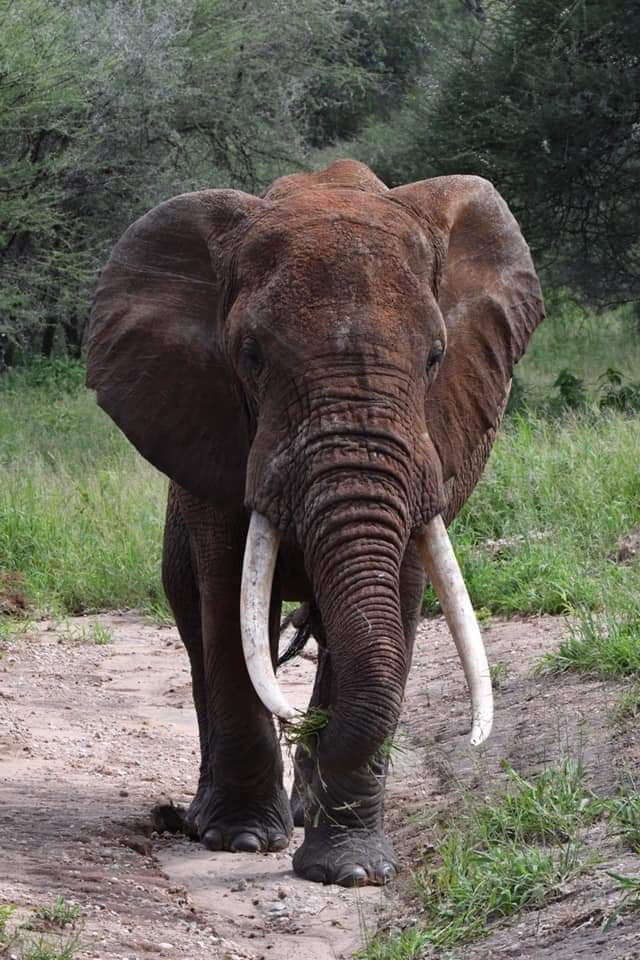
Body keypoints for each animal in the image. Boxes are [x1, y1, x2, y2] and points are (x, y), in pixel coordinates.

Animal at [86, 156, 544, 884]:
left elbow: (400, 598)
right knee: (197, 622)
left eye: (435, 357)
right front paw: (242, 840)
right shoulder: (214, 429)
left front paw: (352, 873)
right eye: (250, 357)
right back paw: (218, 815)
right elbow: (229, 600)